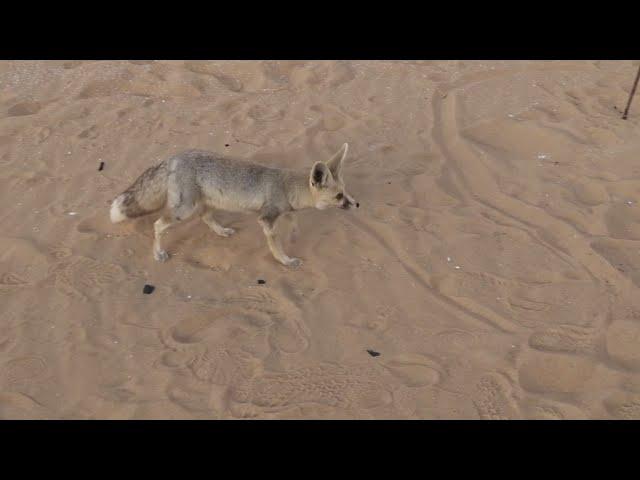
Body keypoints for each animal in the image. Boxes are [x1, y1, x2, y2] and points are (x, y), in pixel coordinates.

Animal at [112, 142, 358, 266]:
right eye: (339, 196)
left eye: (345, 192)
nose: (356, 204)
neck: (286, 187)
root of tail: (172, 158)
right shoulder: (267, 219)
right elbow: (275, 245)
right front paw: (285, 260)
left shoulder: (283, 211)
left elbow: (293, 220)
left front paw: (294, 234)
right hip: (185, 209)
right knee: (158, 224)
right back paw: (158, 253)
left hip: (210, 202)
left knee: (205, 217)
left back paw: (222, 231)